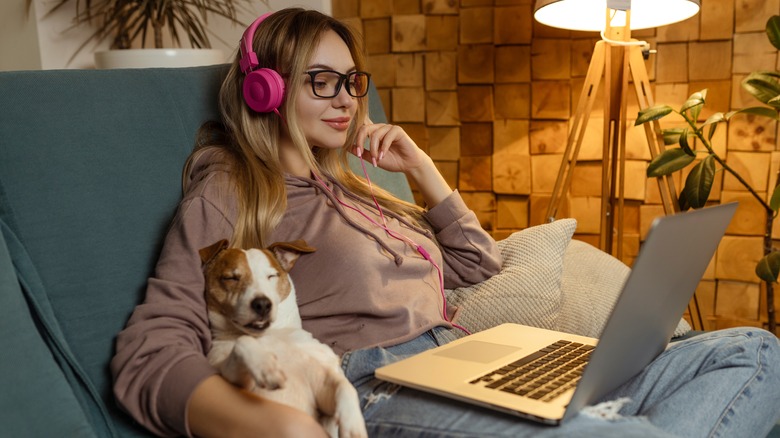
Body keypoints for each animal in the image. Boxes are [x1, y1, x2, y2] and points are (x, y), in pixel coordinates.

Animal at [200, 240, 368, 438]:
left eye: (272, 275)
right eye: (230, 278)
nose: (262, 304)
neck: (271, 335)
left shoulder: (322, 384)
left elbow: (345, 387)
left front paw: (352, 423)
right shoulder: (231, 378)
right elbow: (243, 342)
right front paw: (265, 366)